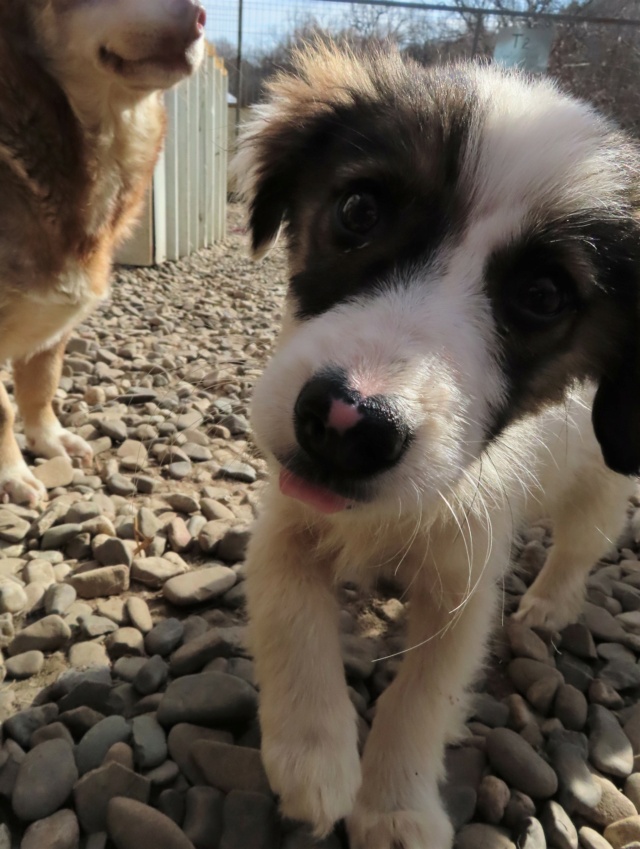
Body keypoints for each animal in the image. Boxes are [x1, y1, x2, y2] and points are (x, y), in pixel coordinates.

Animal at [0, 1, 205, 504]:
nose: (199, 18)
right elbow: (3, 411)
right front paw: (12, 474)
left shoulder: (53, 327)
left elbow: (41, 384)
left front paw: (50, 439)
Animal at [235, 46, 640, 848]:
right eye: (359, 211)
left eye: (543, 295)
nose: (347, 423)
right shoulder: (287, 520)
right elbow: (292, 615)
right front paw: (313, 759)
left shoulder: (465, 582)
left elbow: (422, 697)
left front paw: (396, 806)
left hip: (602, 484)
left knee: (582, 543)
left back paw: (550, 603)